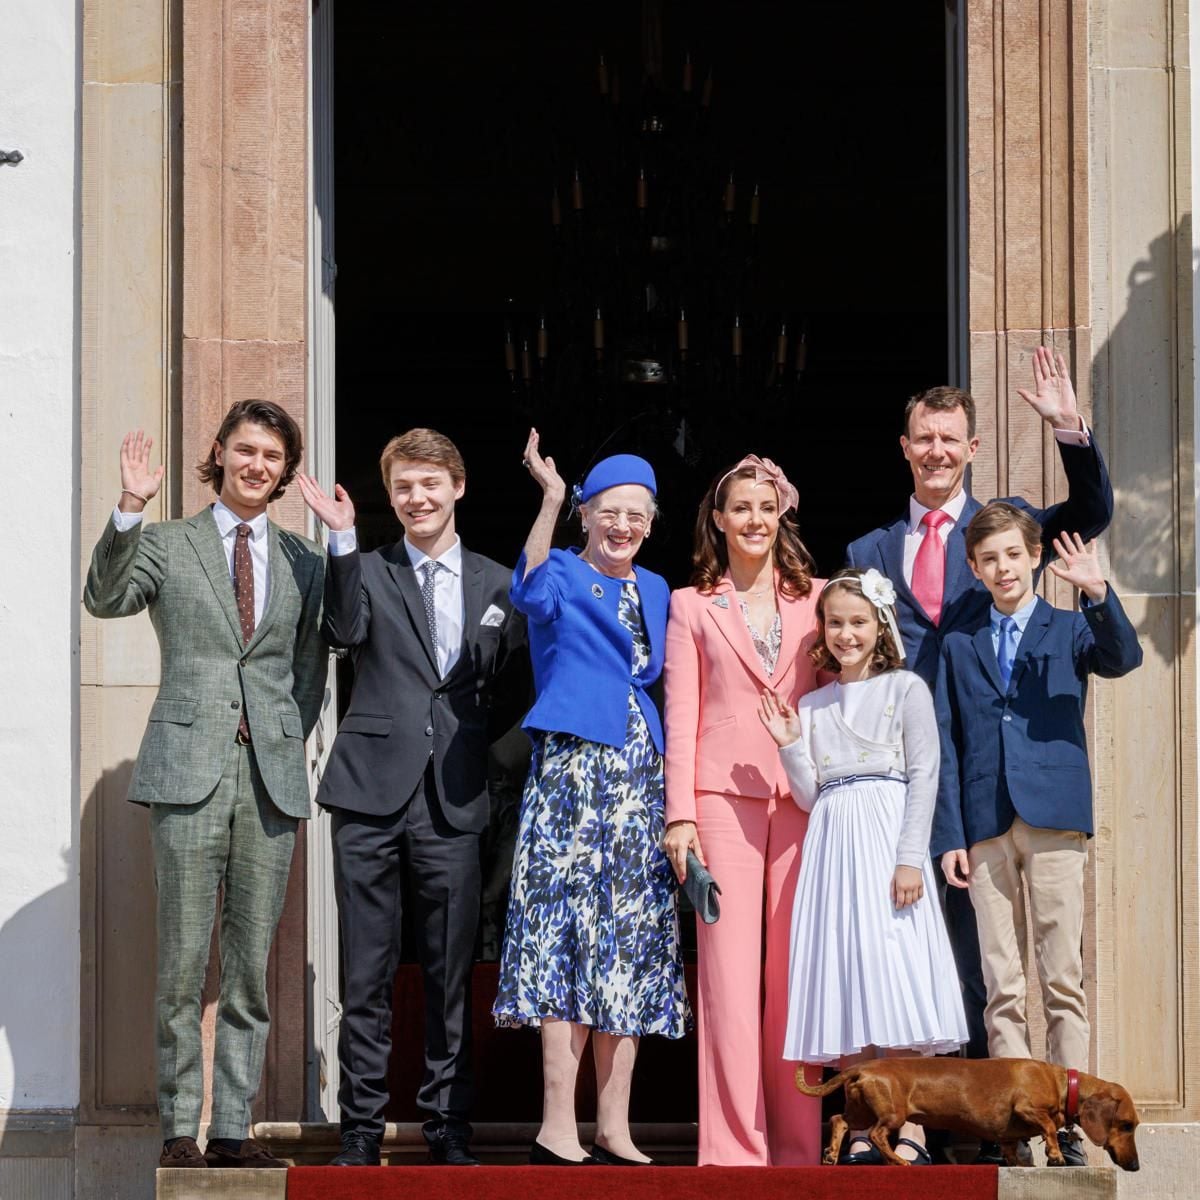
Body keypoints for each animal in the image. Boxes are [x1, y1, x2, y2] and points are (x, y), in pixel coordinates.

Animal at [796, 1056, 1142, 1166]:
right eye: (1127, 1125)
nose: (1136, 1166)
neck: (1060, 1083)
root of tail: (863, 1066)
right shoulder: (1027, 1107)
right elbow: (1047, 1126)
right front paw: (1055, 1154)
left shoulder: (1007, 1138)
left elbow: (1014, 1153)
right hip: (892, 1114)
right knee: (878, 1135)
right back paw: (897, 1160)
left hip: (861, 1109)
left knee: (839, 1120)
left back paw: (831, 1153)